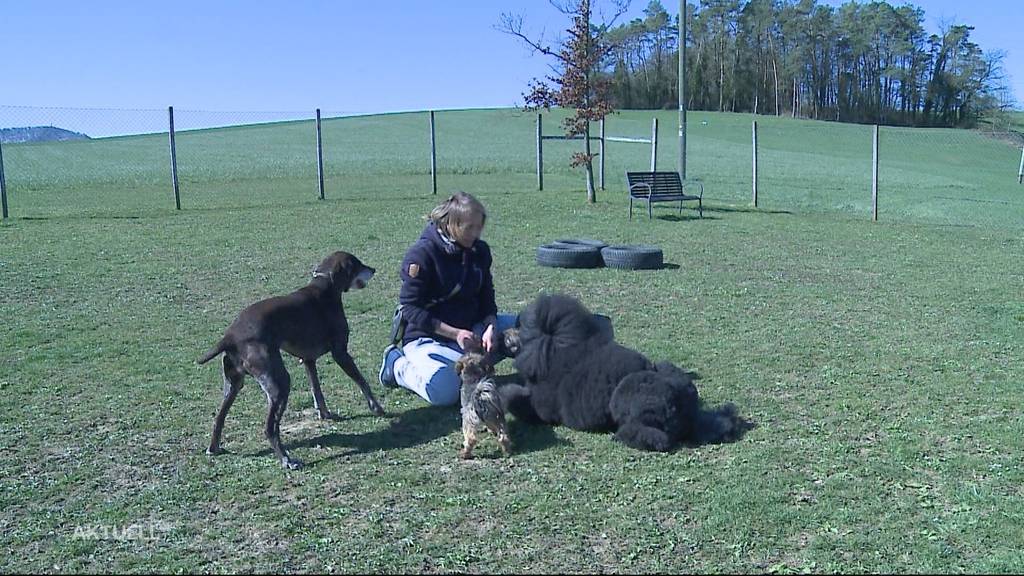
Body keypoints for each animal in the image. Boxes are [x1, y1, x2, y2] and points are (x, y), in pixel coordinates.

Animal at [196, 251, 385, 467]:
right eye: (357, 264)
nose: (373, 269)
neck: (325, 287)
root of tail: (230, 336)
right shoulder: (341, 353)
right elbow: (362, 381)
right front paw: (377, 407)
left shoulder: (308, 360)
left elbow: (317, 391)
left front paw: (325, 414)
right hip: (279, 384)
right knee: (270, 428)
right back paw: (287, 460)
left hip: (233, 385)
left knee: (219, 418)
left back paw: (214, 448)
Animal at [497, 293, 745, 450]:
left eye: (517, 327)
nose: (500, 335)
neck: (553, 351)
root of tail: (685, 410)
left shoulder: (540, 409)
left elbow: (517, 400)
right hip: (665, 367)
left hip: (627, 396)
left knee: (656, 437)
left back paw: (623, 437)